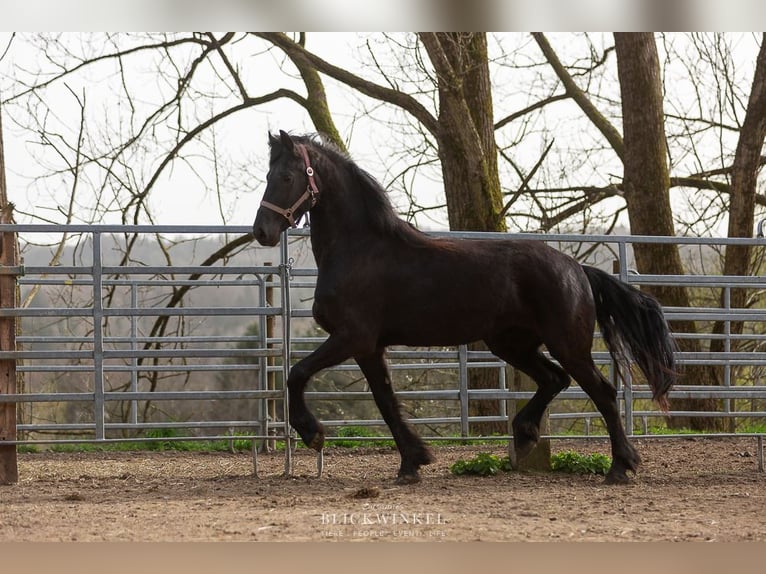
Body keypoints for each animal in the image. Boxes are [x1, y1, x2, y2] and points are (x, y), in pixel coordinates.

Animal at [252, 130, 676, 485]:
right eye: (268, 174)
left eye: (286, 176)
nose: (262, 231)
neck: (359, 250)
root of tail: (577, 269)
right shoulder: (369, 347)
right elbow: (385, 400)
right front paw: (413, 462)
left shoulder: (351, 338)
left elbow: (297, 374)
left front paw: (313, 433)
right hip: (511, 344)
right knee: (554, 379)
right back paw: (525, 433)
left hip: (567, 345)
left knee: (601, 391)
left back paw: (619, 467)